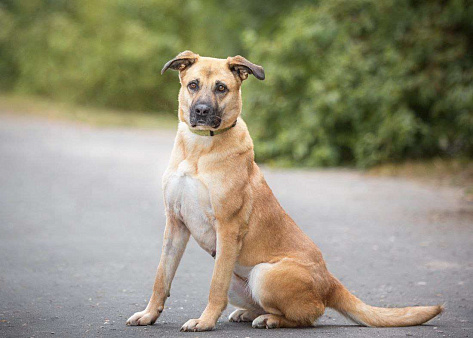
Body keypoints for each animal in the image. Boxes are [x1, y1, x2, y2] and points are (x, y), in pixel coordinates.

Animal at [125, 51, 442, 332]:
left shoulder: (227, 228)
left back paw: (271, 320)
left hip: (263, 274)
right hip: (239, 281)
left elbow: (214, 287)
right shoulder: (175, 224)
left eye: (221, 88)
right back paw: (248, 313)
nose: (202, 111)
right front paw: (149, 314)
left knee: (308, 316)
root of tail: (329, 281)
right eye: (193, 85)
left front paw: (204, 322)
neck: (199, 149)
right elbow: (161, 277)